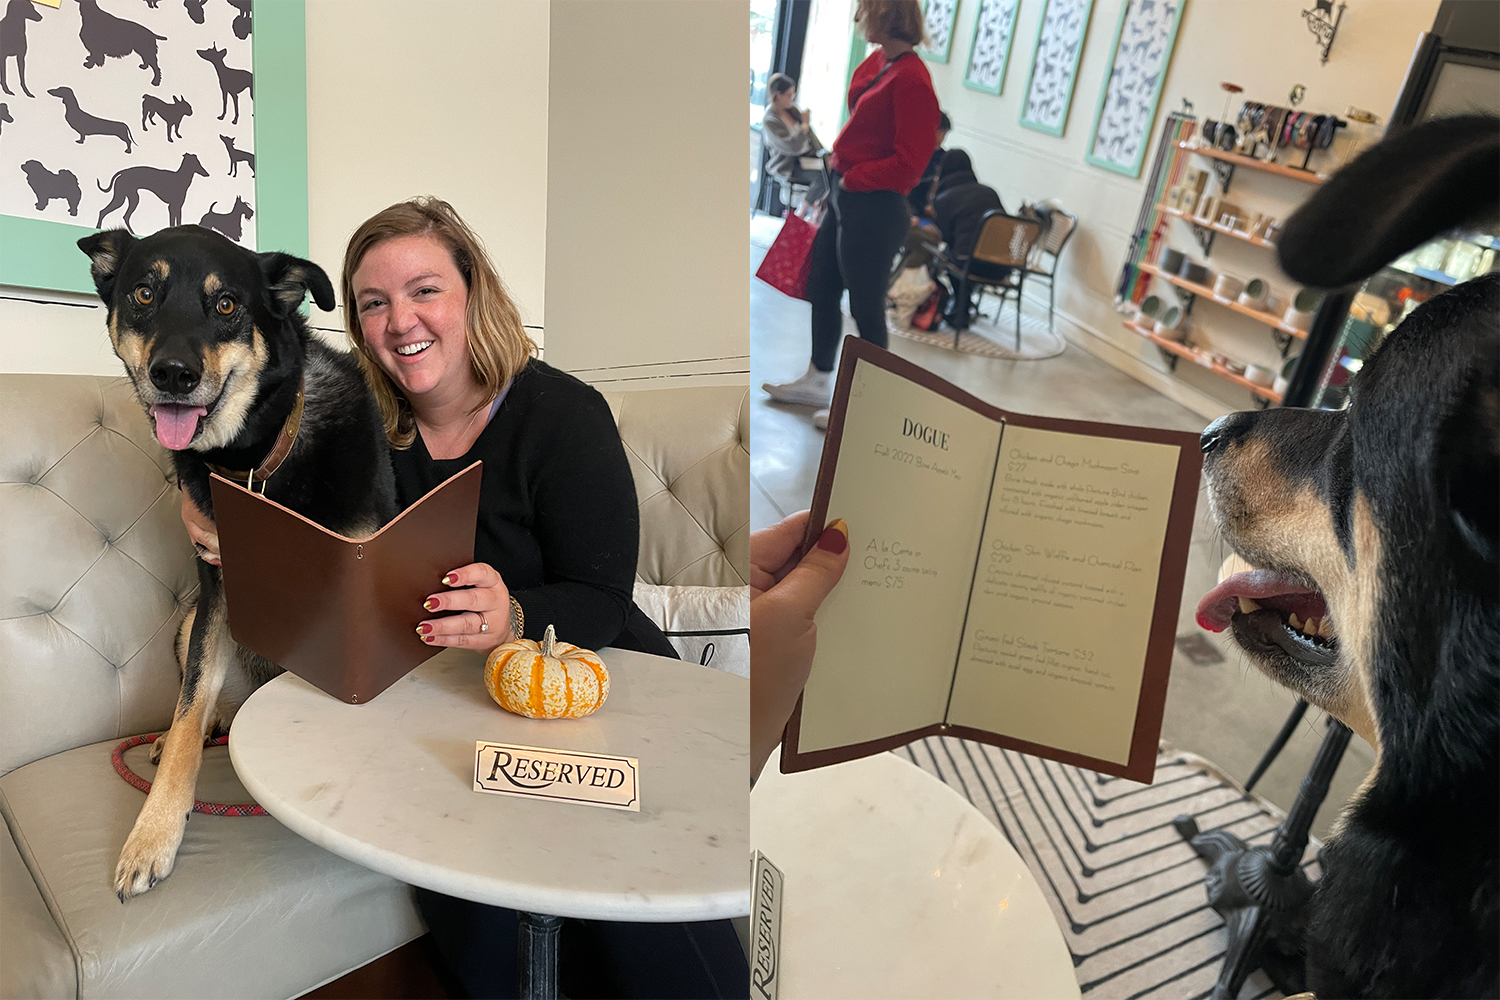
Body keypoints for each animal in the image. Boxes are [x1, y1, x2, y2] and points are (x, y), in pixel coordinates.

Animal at [79, 224, 396, 899]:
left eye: (226, 305)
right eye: (143, 293)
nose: (173, 374)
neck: (257, 458)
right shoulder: (217, 590)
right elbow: (189, 705)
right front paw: (154, 832)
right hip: (189, 621)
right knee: (204, 710)